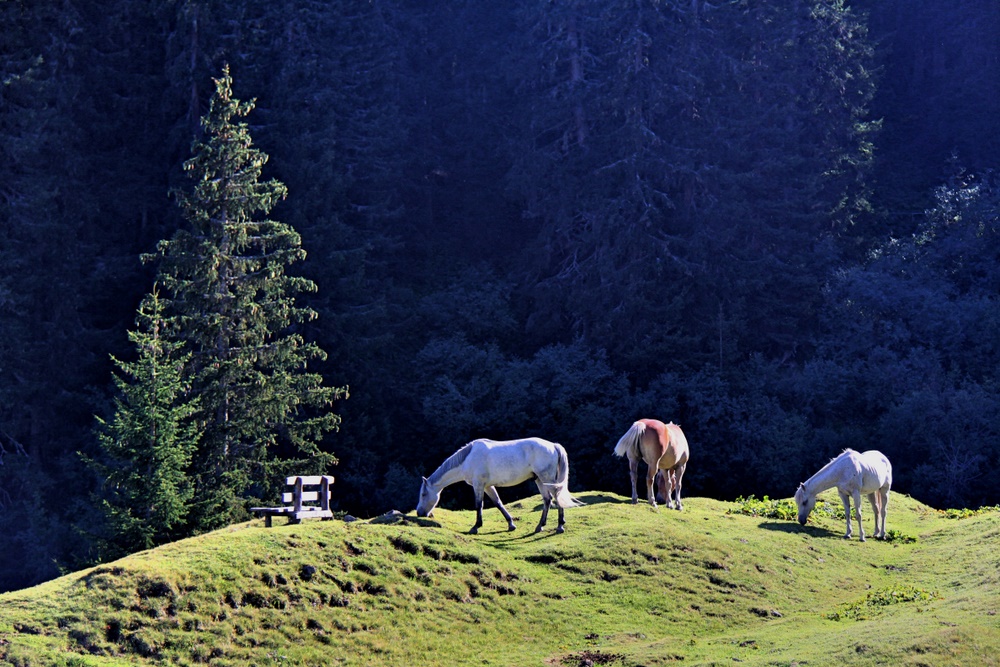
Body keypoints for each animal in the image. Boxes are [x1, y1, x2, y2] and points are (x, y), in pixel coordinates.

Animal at [416, 438, 584, 536]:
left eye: (423, 494)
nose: (419, 513)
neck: (468, 459)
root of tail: (553, 445)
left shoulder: (478, 485)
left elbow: (479, 505)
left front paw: (475, 527)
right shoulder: (488, 486)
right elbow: (498, 503)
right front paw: (511, 524)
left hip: (546, 478)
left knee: (555, 497)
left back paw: (560, 526)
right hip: (540, 480)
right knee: (547, 500)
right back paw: (540, 526)